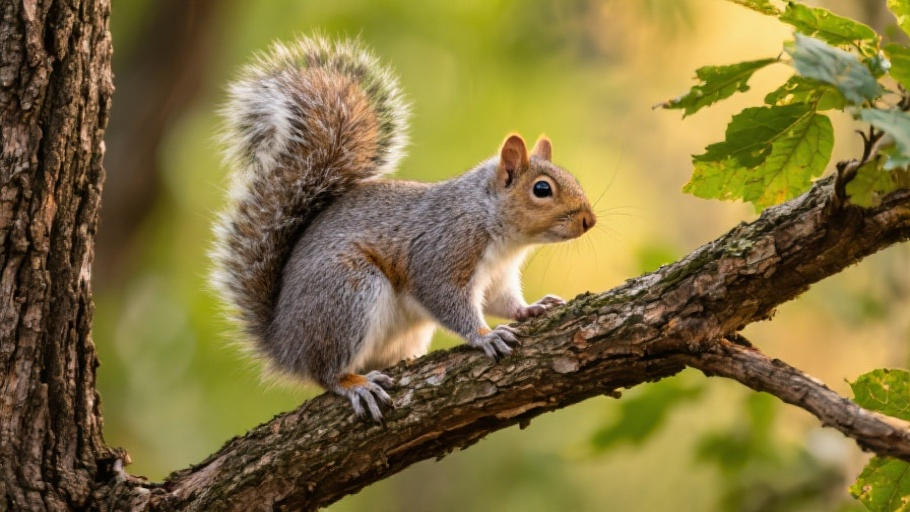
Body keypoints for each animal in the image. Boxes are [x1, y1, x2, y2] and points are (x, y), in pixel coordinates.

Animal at [211, 35, 596, 422]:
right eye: (542, 189)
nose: (588, 221)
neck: (495, 229)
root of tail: (284, 343)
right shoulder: (443, 249)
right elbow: (444, 297)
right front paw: (484, 335)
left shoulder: (498, 277)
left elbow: (502, 300)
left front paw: (530, 308)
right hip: (345, 292)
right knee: (326, 372)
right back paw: (355, 384)